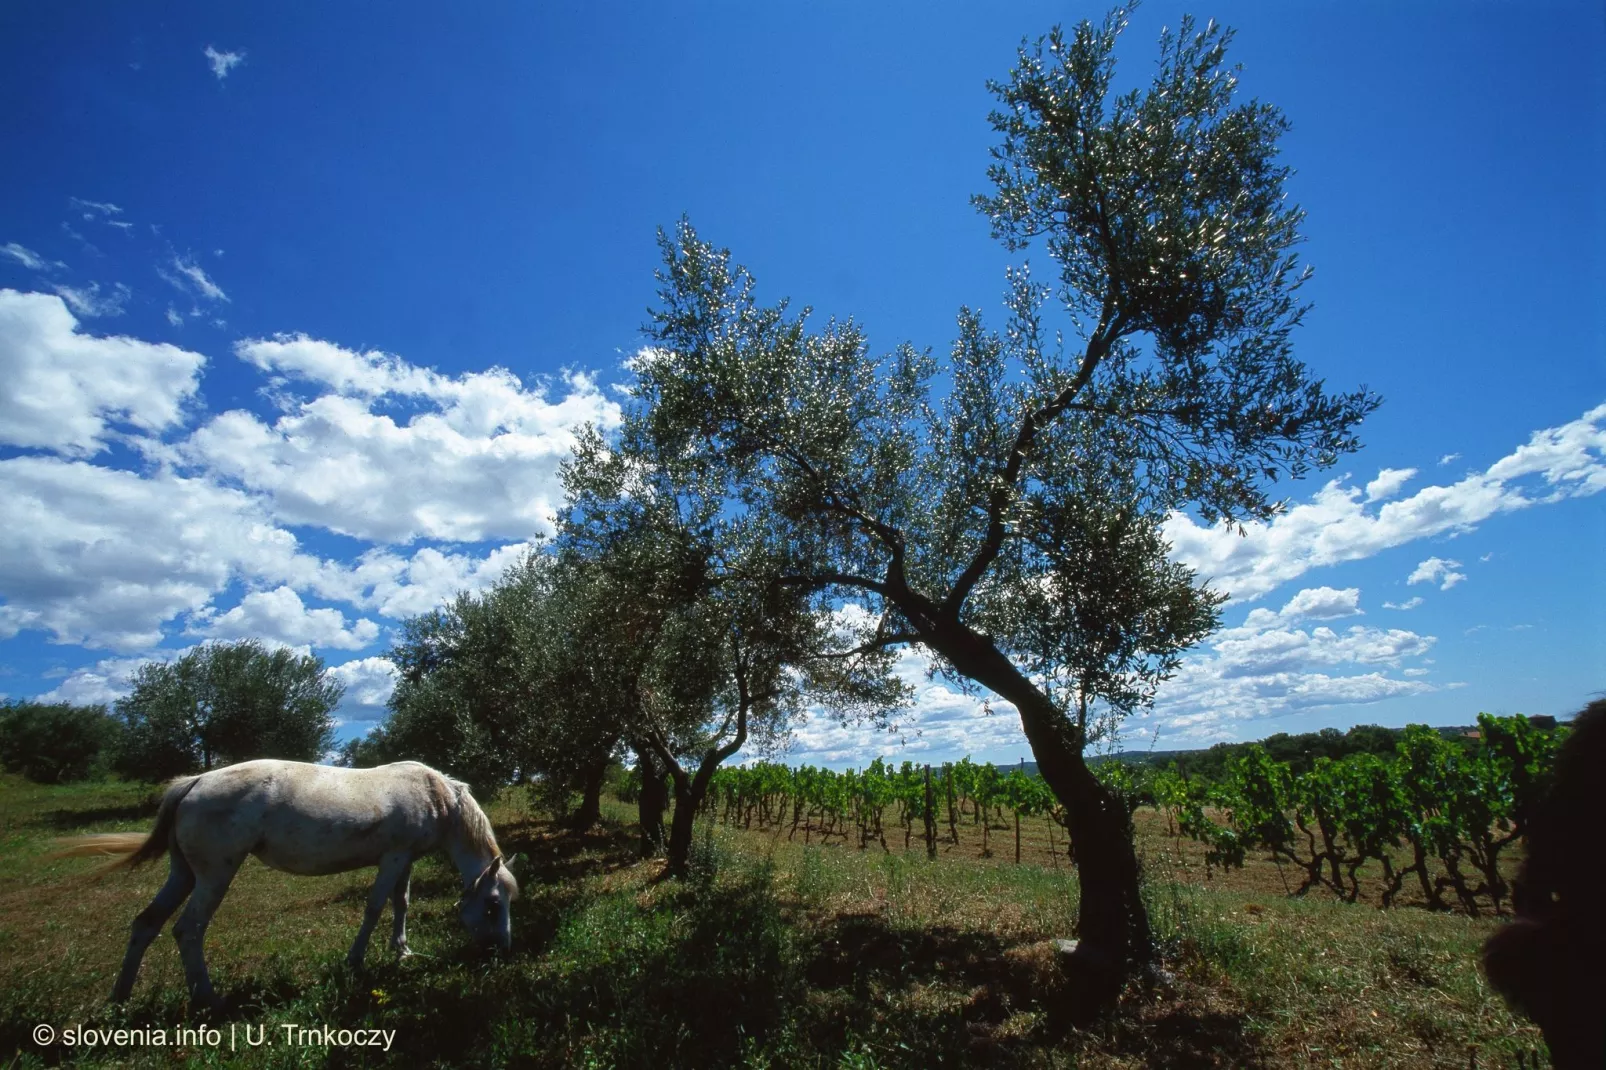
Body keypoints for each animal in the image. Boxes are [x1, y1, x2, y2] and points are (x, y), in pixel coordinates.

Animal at [56, 755, 517, 1002]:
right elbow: (373, 908)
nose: (502, 952)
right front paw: (355, 960)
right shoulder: (393, 858)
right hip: (214, 875)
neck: (436, 796)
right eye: (493, 905)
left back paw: (121, 996)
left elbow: (400, 903)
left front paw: (401, 951)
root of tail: (195, 781)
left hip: (182, 874)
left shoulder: (405, 861)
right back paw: (207, 997)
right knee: (188, 929)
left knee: (146, 924)